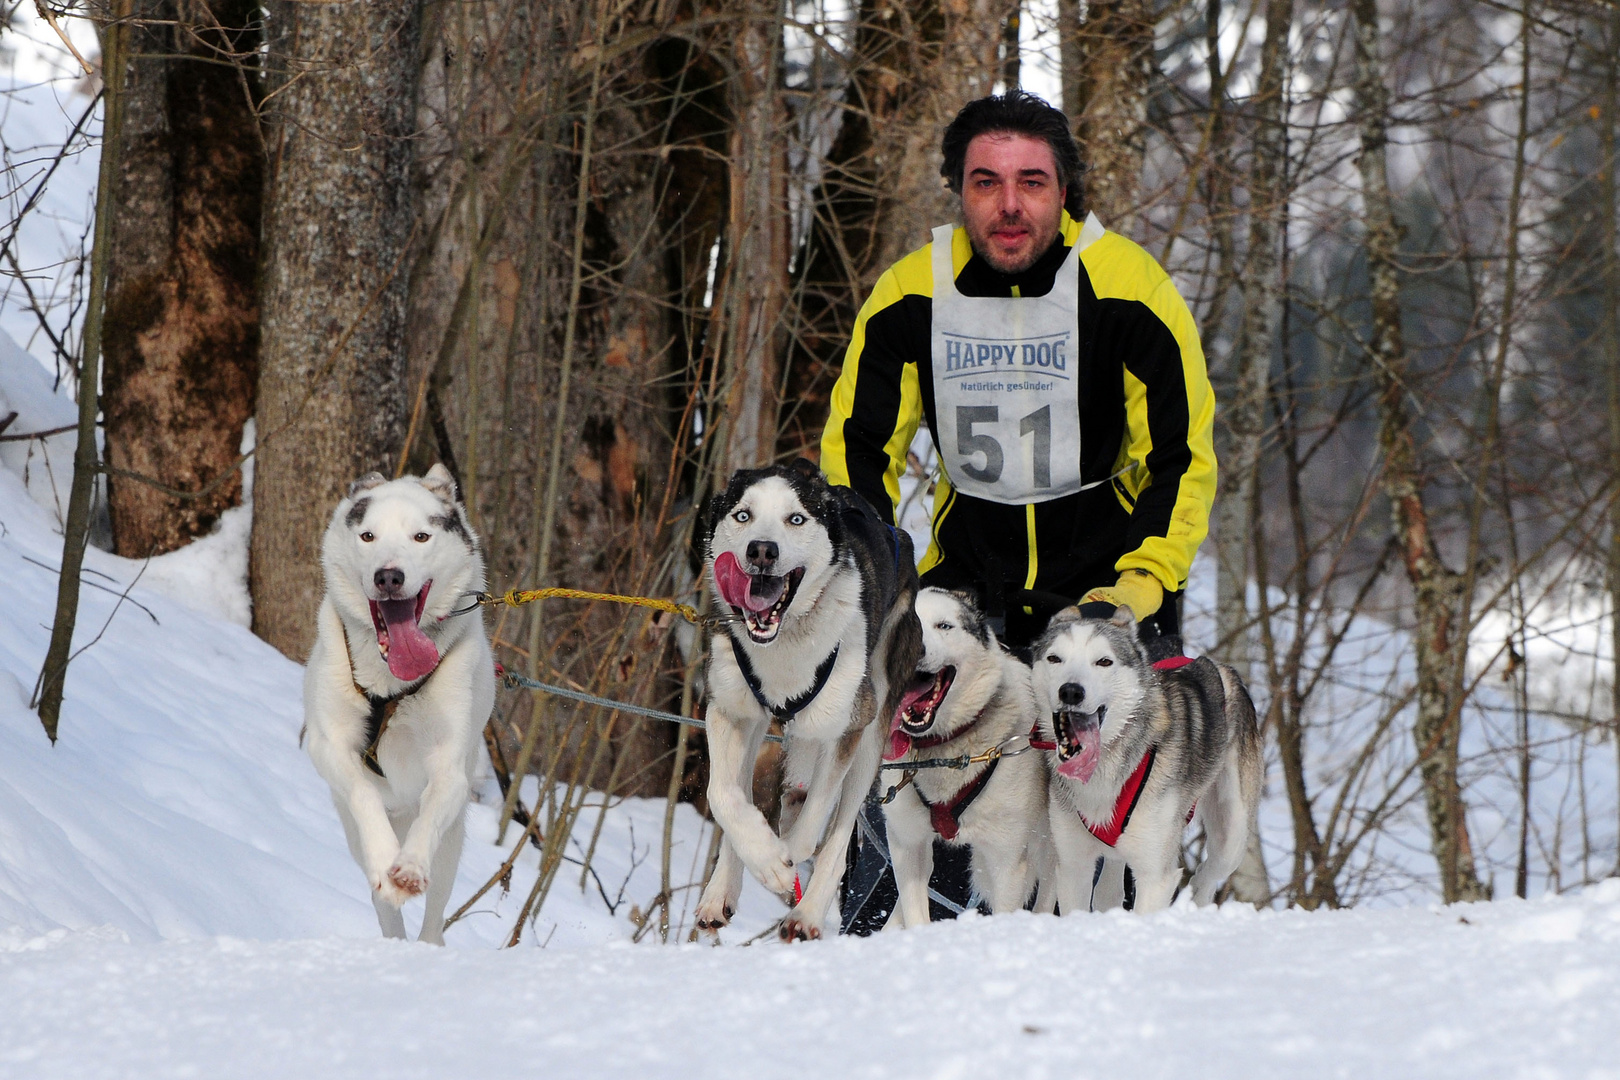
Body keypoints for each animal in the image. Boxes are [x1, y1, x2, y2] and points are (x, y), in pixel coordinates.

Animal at [301, 466, 492, 945]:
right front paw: (388, 860)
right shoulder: (329, 746)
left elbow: (434, 805)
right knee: (382, 902)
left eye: (421, 536)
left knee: (436, 907)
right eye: (368, 535)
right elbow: (364, 791)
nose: (389, 576)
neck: (390, 686)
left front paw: (407, 866)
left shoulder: (450, 764)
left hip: (453, 842)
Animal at [696, 459, 926, 939]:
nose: (761, 551)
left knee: (838, 834)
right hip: (761, 727)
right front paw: (764, 858)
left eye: (796, 519)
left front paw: (781, 862)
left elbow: (810, 830)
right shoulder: (730, 710)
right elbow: (723, 795)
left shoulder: (845, 731)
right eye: (743, 515)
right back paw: (721, 891)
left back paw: (807, 911)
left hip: (871, 730)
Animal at [1030, 608, 1257, 913]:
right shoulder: (1072, 867)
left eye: (1104, 661)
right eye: (1055, 658)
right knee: (1109, 892)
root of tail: (1223, 670)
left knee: (1205, 878)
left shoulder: (1155, 876)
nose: (1070, 691)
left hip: (1231, 833)